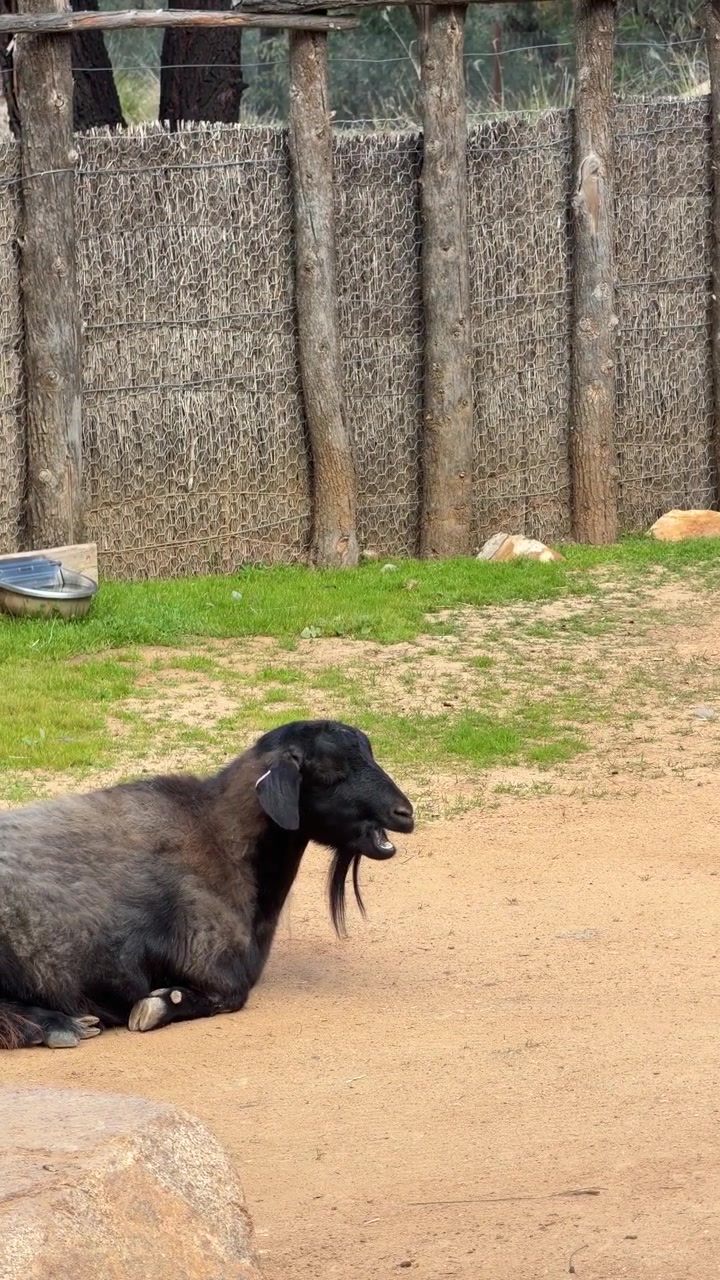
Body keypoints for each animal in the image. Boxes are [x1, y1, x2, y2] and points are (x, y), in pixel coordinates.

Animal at [0, 719, 414, 1050]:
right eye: (329, 773)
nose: (405, 814)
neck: (218, 835)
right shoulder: (208, 955)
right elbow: (232, 993)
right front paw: (159, 1004)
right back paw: (56, 1025)